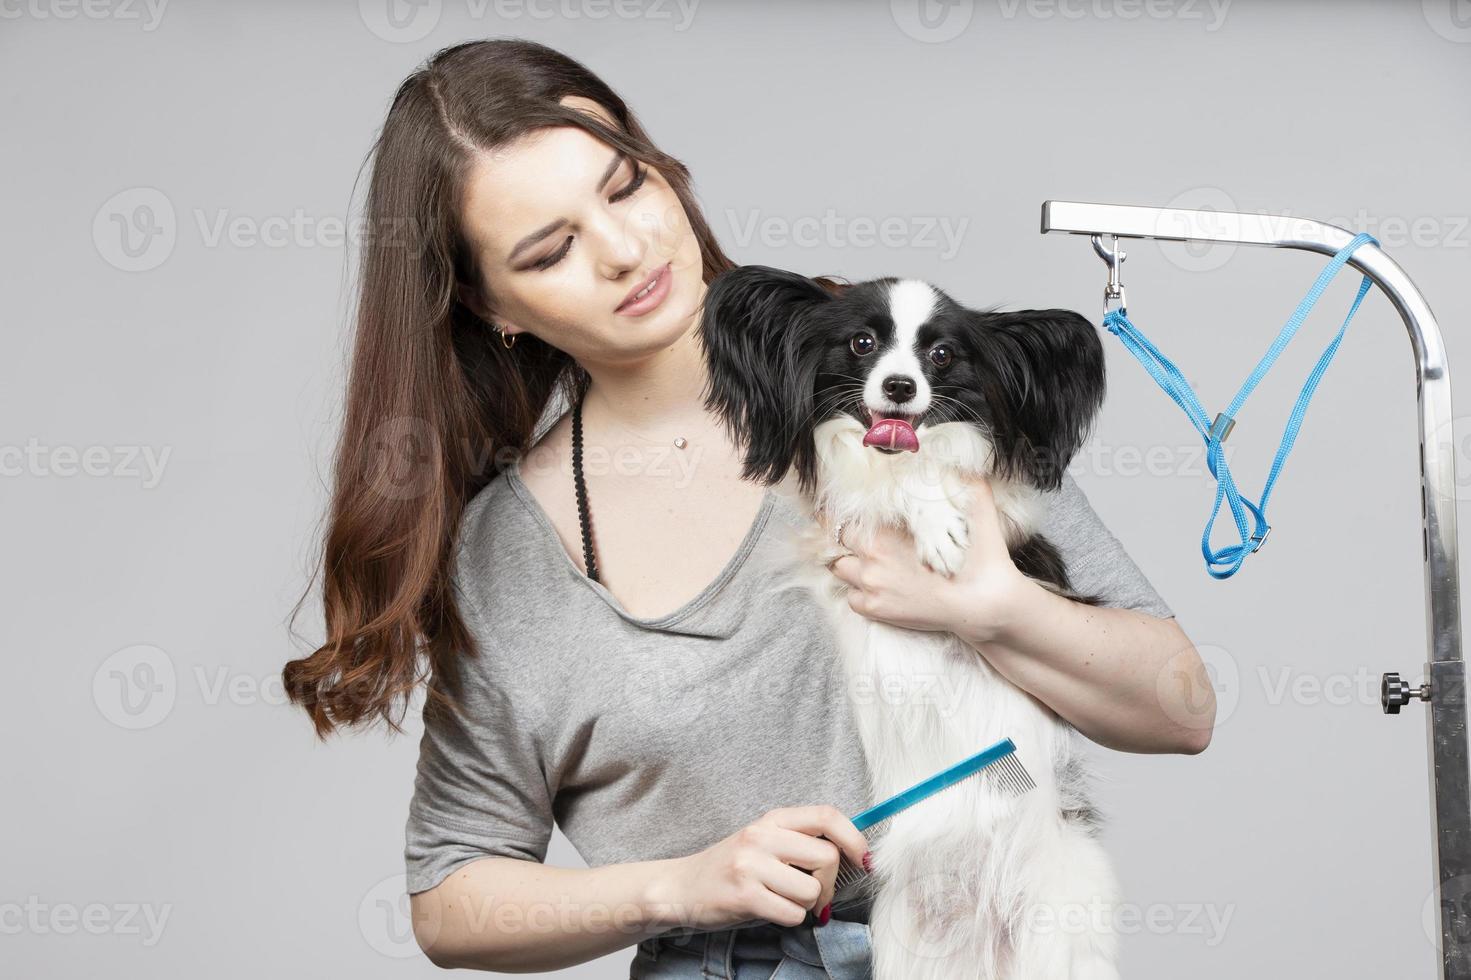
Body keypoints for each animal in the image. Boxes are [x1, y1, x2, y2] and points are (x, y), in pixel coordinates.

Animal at [694, 264, 1117, 977]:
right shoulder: (833, 527)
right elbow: (884, 488)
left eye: (940, 356)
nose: (899, 386)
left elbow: (937, 471)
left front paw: (939, 520)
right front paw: (927, 514)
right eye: (862, 344)